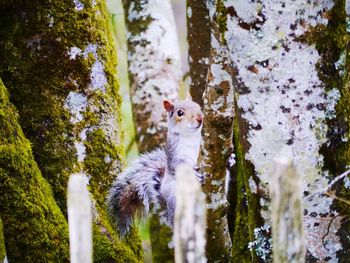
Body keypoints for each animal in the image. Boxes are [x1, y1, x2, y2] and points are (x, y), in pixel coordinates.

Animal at [108, 98, 204, 236]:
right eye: (180, 113)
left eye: (199, 107)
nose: (200, 118)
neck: (190, 137)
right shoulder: (174, 155)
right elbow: (179, 166)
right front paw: (194, 173)